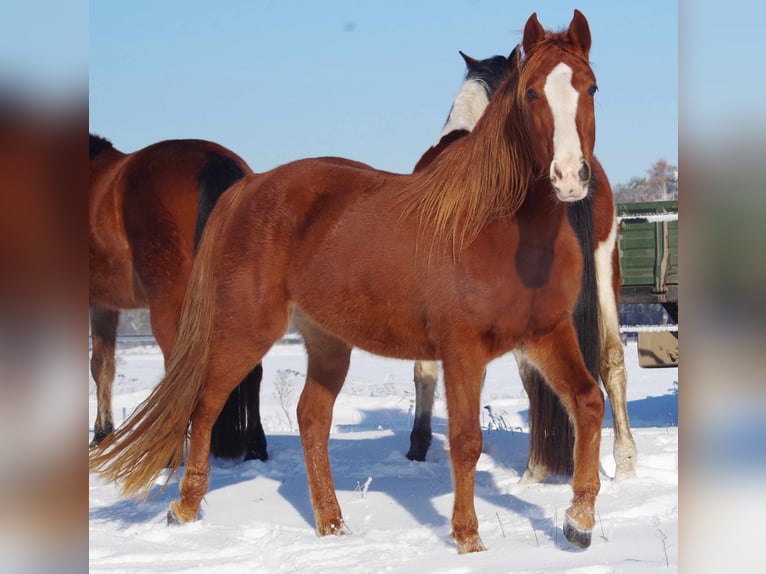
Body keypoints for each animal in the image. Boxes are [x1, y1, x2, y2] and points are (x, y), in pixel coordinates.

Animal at [407, 54, 637, 483]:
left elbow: (425, 370)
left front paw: (418, 446)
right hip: (604, 269)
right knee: (611, 359)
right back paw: (626, 464)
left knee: (536, 376)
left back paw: (536, 471)